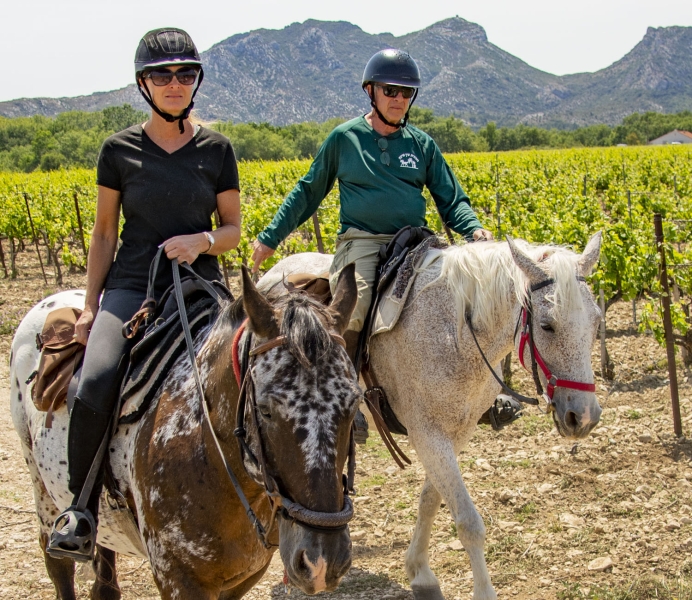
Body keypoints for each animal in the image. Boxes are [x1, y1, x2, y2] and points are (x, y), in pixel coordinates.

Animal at [10, 268, 362, 600]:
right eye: (265, 409)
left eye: (354, 401)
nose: (322, 561)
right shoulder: (178, 580)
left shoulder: (243, 578)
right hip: (42, 491)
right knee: (58, 565)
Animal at [256, 233, 604, 600]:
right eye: (547, 326)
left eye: (597, 322)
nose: (584, 416)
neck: (456, 332)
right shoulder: (427, 435)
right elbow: (467, 521)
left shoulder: (456, 433)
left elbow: (430, 500)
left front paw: (420, 573)